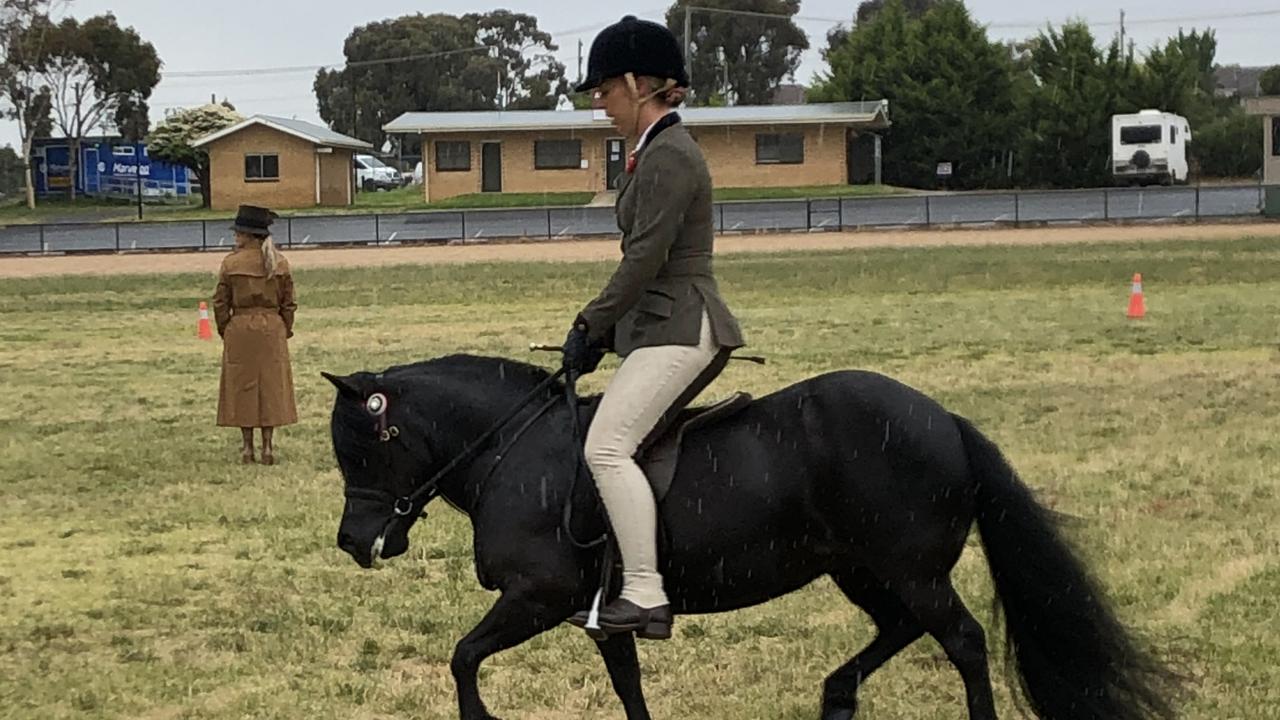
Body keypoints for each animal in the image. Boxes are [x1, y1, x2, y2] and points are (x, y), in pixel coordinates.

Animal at [325, 353, 1172, 717]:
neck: (513, 444)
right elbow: (628, 687)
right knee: (899, 630)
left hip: (911, 571)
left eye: (364, 446)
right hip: (864, 571)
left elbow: (464, 658)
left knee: (961, 642)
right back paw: (835, 699)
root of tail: (945, 420)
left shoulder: (538, 596)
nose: (353, 542)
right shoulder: (604, 616)